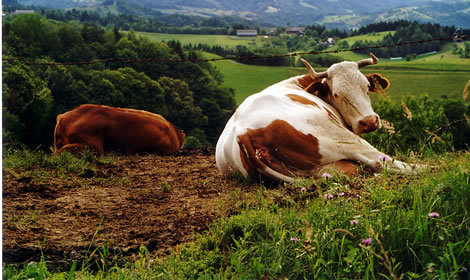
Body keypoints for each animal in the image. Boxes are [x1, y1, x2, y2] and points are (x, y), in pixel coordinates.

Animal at [217, 53, 422, 183]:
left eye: (366, 86)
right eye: (337, 94)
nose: (369, 121)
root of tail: (242, 132)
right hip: (338, 138)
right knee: (383, 162)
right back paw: (424, 169)